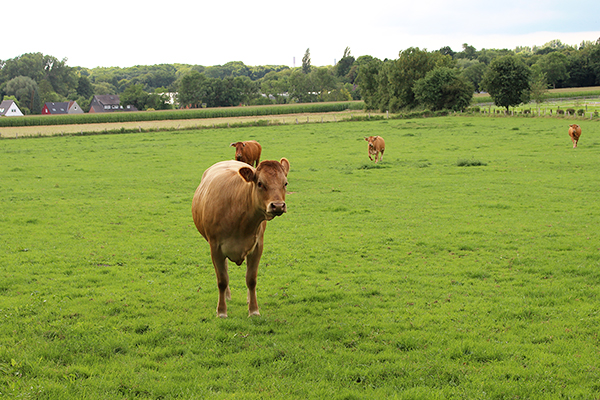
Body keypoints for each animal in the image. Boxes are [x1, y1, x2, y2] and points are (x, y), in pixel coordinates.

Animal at [190, 158, 288, 318]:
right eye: (260, 183)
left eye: (285, 183)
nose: (278, 205)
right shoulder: (215, 248)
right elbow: (222, 280)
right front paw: (221, 311)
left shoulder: (257, 247)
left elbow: (251, 279)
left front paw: (253, 310)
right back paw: (227, 296)